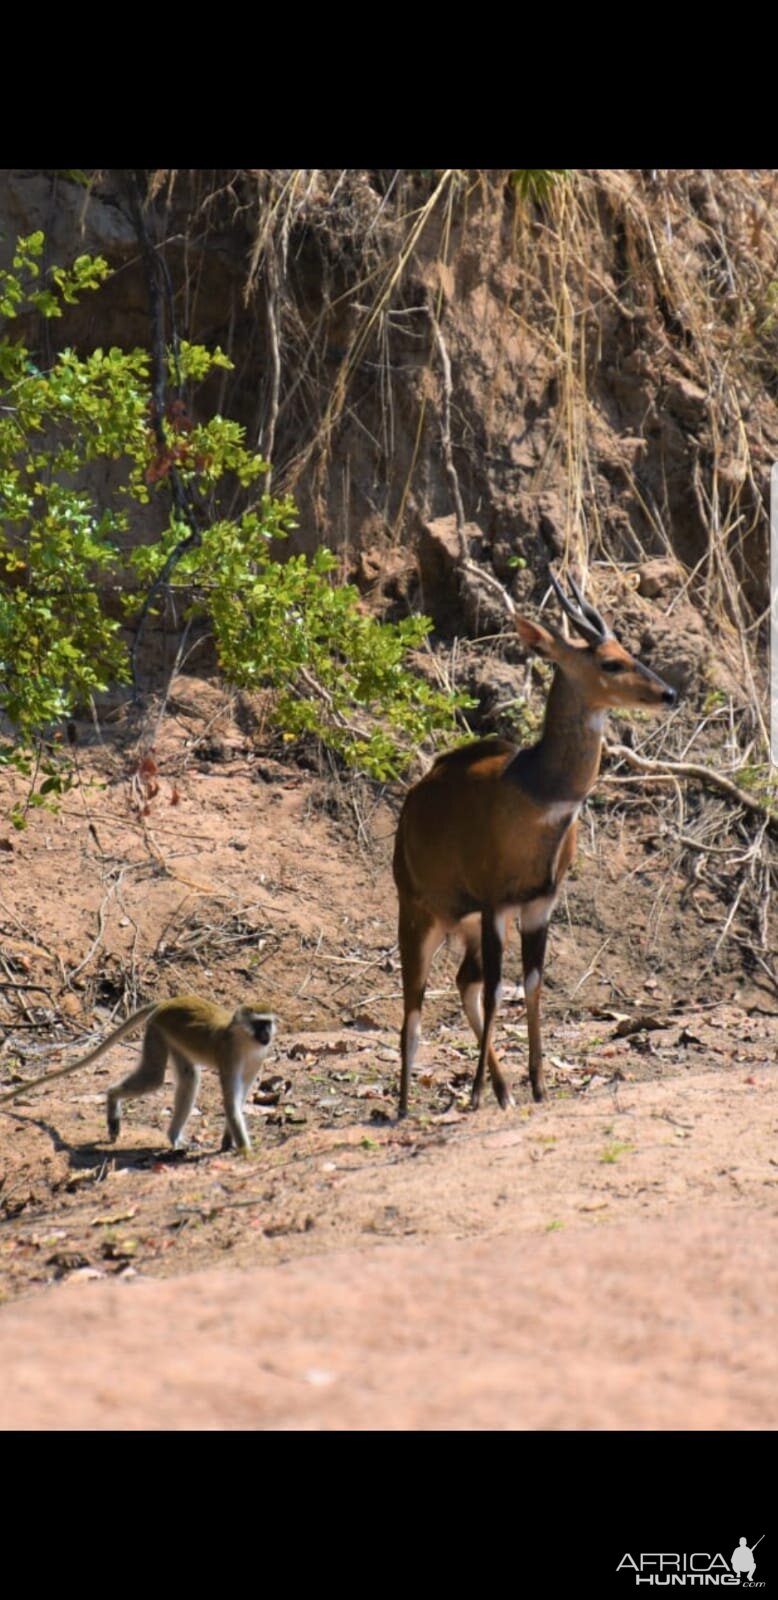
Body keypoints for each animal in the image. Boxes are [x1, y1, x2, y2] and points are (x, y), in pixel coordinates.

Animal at [0, 998, 278, 1152]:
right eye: (259, 1024)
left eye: (268, 1023)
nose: (267, 1035)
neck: (245, 1040)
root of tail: (167, 1002)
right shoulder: (229, 1055)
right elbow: (231, 1103)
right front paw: (246, 1152)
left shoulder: (257, 1058)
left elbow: (238, 1100)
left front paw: (227, 1143)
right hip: (157, 1029)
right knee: (154, 1077)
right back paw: (113, 1099)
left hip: (169, 1035)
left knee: (189, 1077)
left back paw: (174, 1138)